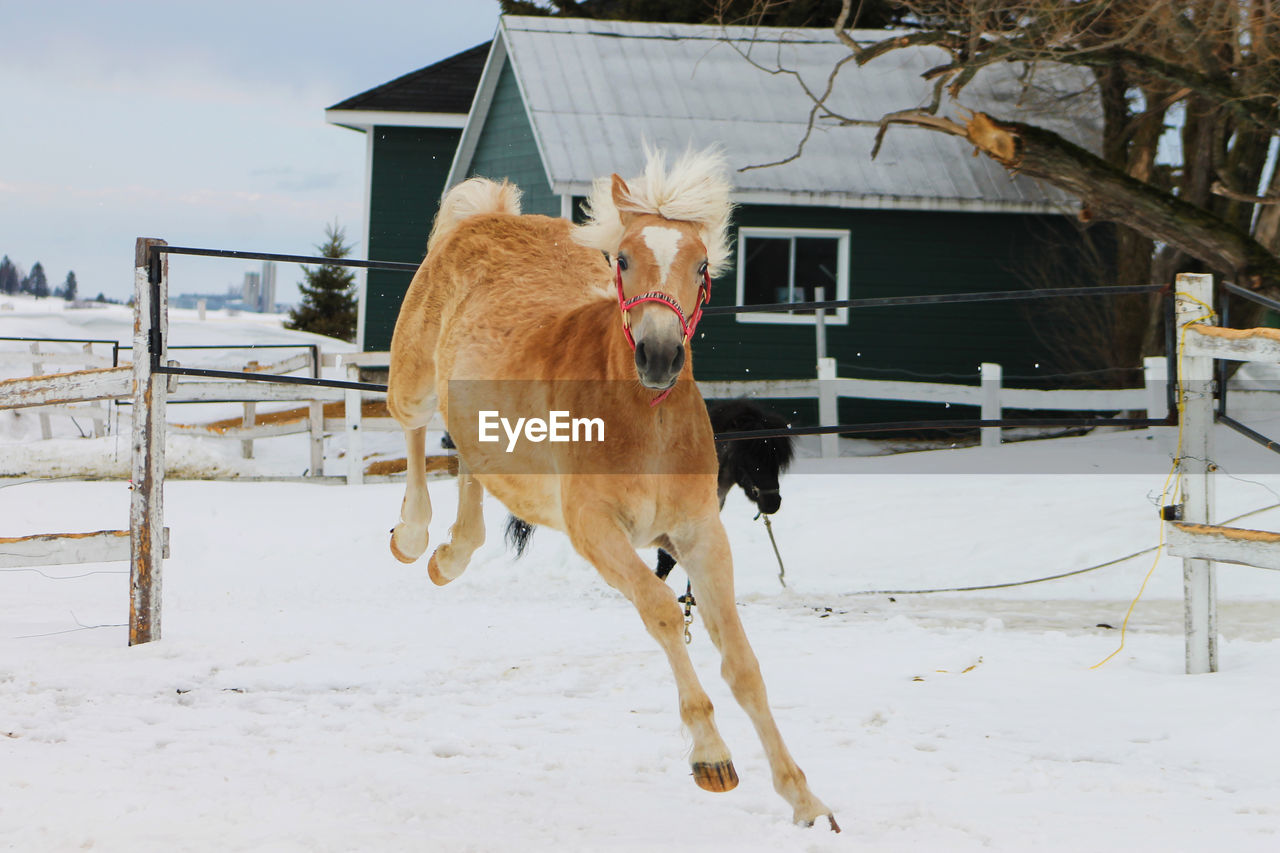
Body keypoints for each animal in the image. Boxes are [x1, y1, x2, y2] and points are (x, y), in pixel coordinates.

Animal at [384, 149, 834, 824]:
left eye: (702, 264)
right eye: (622, 258)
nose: (659, 356)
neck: (645, 424)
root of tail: (487, 217)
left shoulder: (700, 535)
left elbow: (741, 660)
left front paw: (803, 797)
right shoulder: (597, 531)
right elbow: (663, 612)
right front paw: (713, 759)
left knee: (471, 464)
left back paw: (451, 555)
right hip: (411, 380)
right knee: (414, 433)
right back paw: (415, 538)